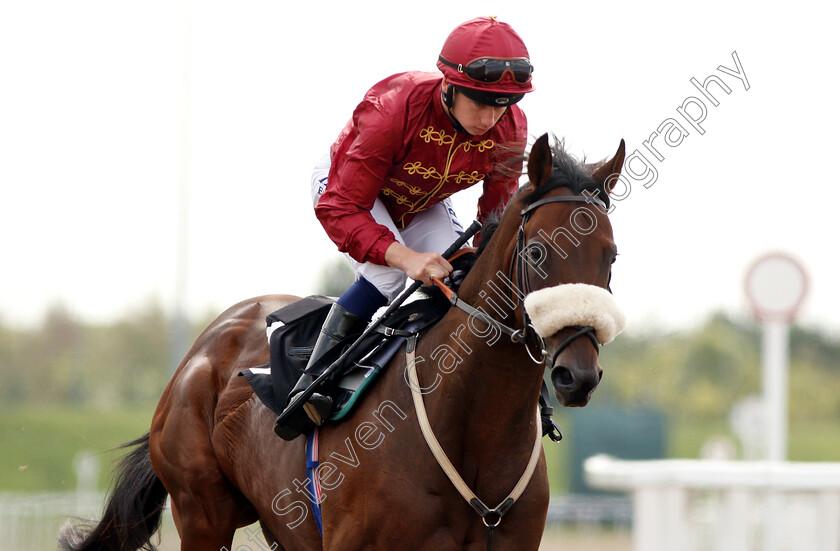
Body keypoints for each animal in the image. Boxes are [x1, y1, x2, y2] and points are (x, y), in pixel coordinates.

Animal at [59, 135, 624, 551]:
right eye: (537, 251)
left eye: (611, 255)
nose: (577, 374)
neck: (473, 429)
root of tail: (203, 346)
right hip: (202, 513)